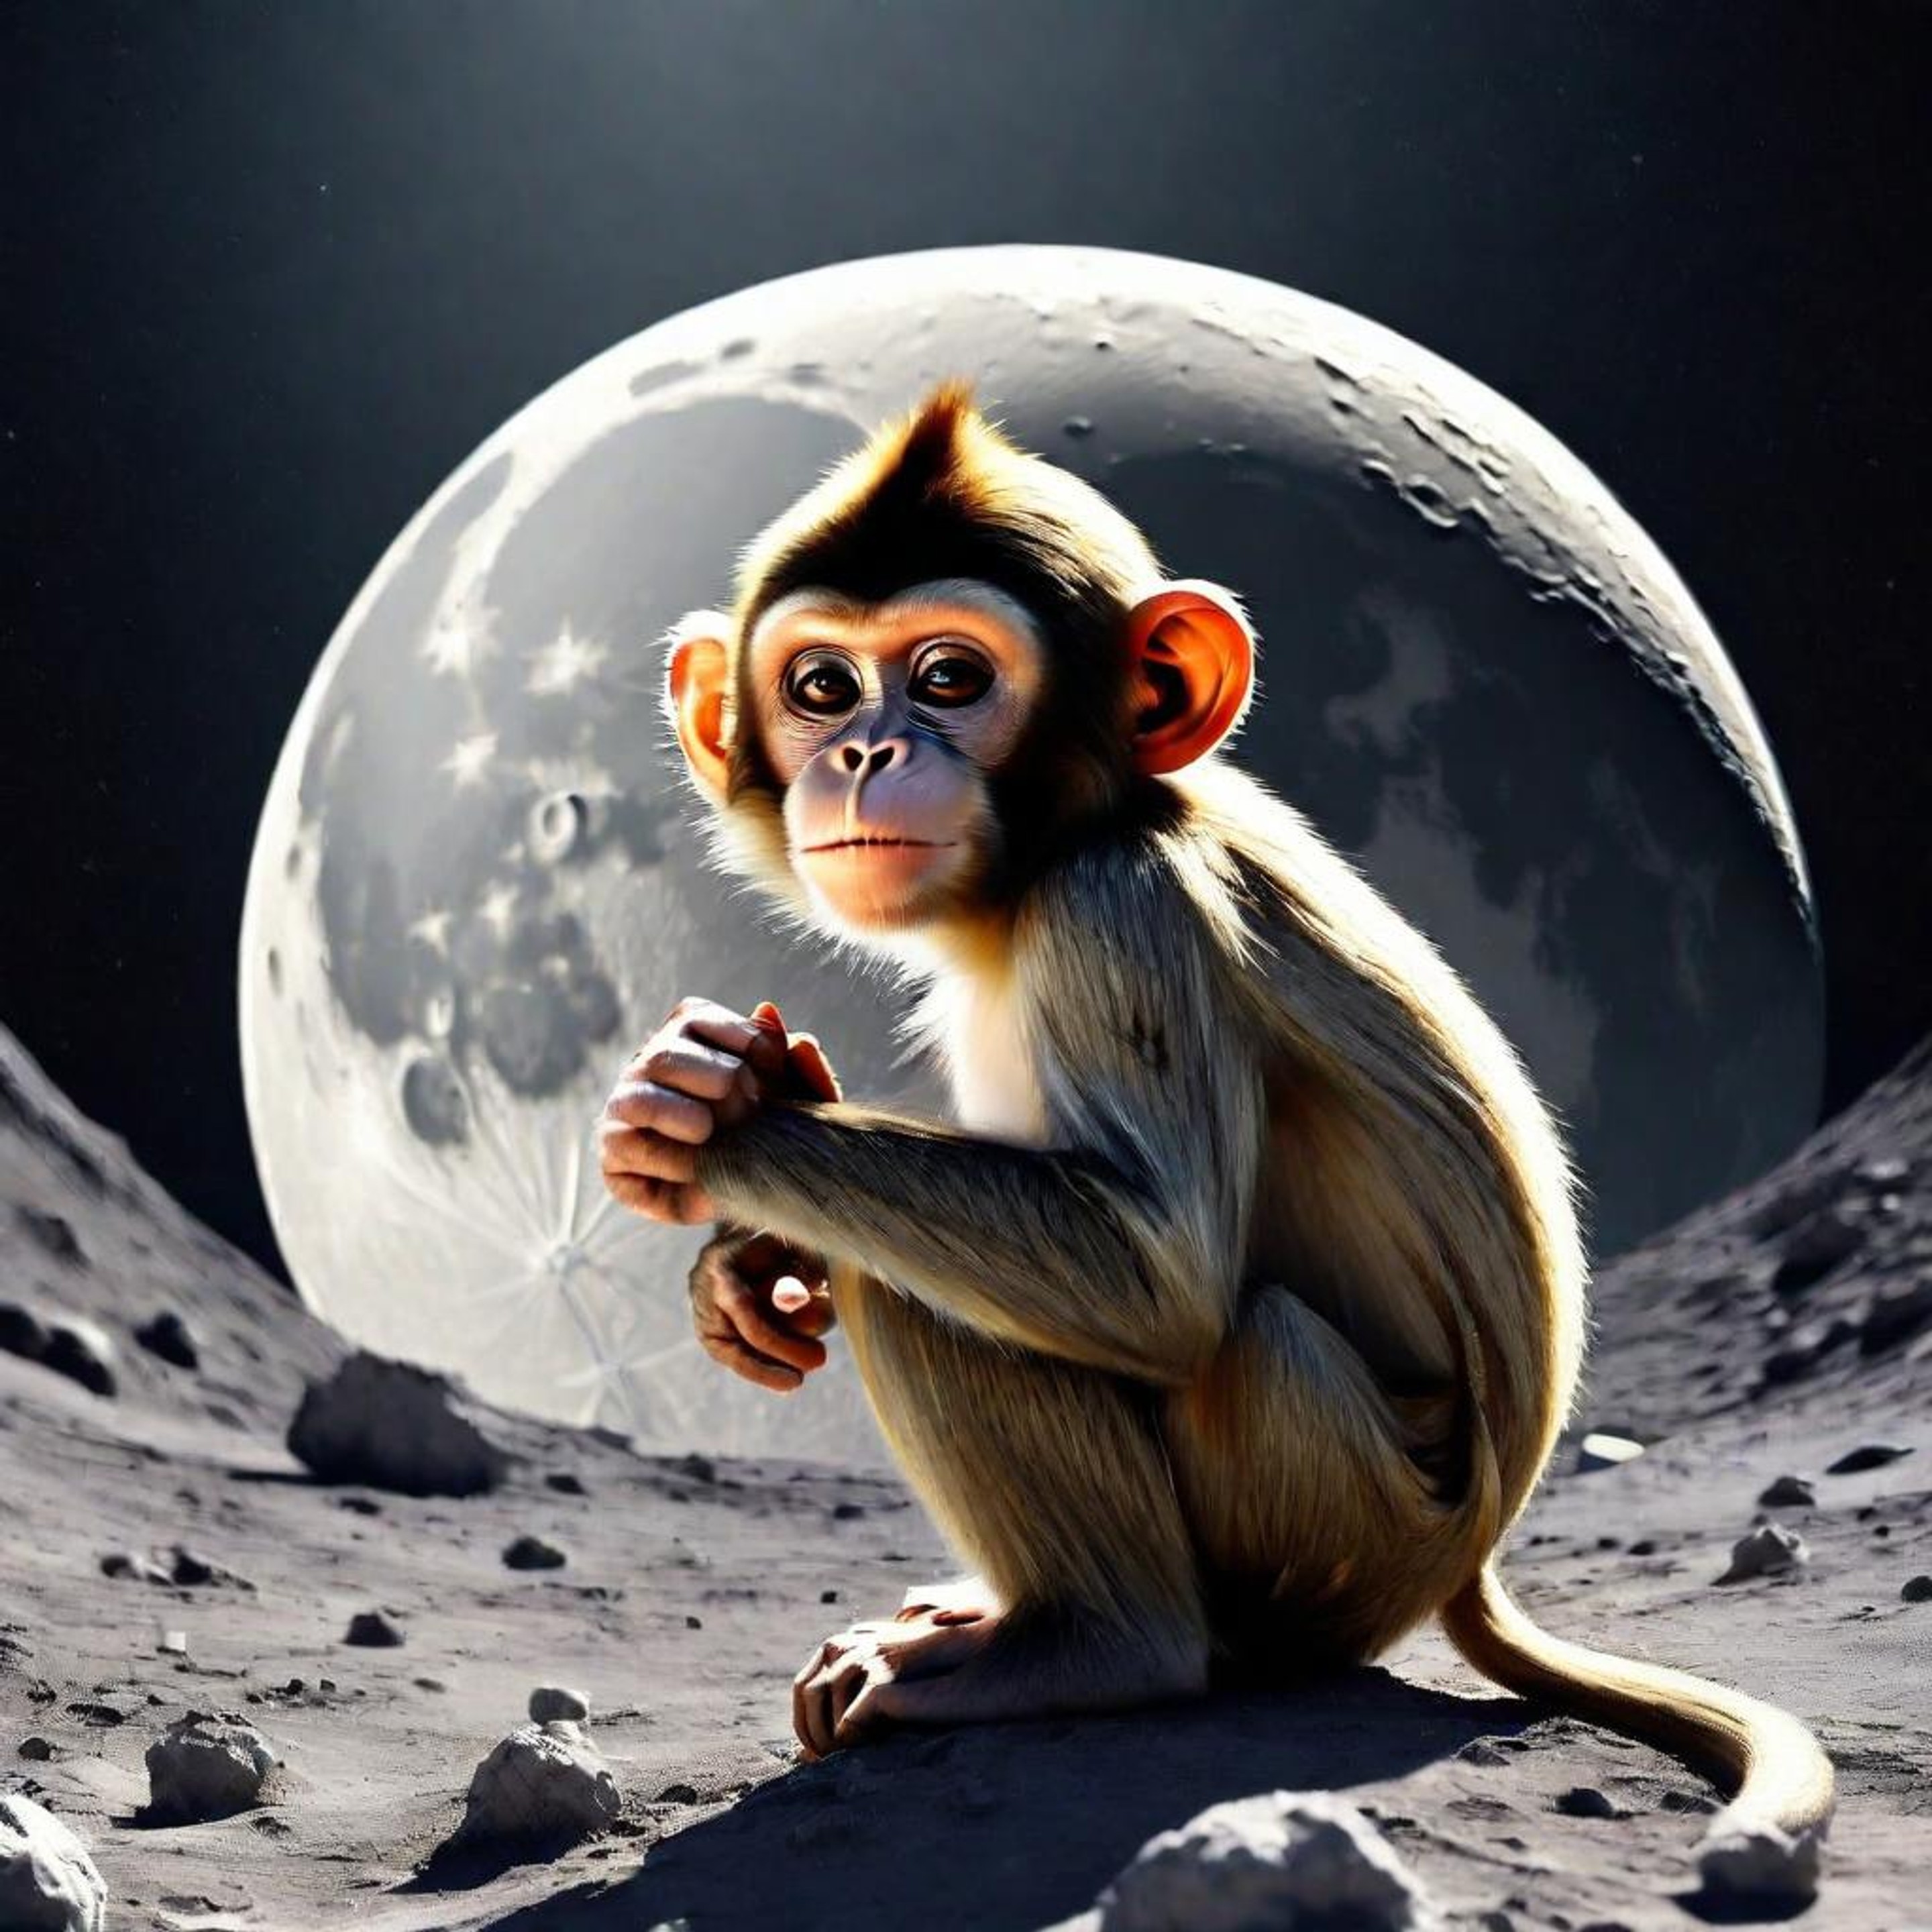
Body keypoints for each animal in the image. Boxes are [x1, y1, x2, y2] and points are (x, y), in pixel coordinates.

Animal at [596, 377, 1834, 1895]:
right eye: (822, 684)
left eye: (949, 678)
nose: (864, 753)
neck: (1070, 843)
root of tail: (1466, 1563)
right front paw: (748, 1266)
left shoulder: (1117, 908)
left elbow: (1154, 1278)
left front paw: (726, 1131)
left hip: (1331, 1511)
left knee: (1071, 1313)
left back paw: (1087, 1650)